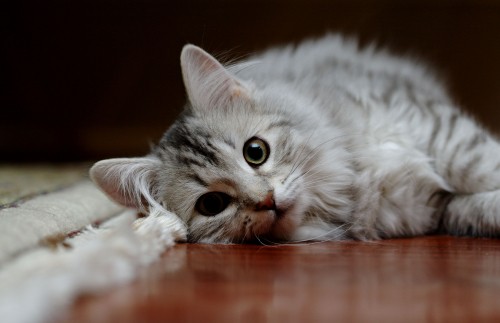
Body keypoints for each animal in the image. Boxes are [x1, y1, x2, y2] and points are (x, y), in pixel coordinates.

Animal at [89, 34, 500, 244]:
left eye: (255, 152)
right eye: (213, 204)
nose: (266, 200)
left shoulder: (434, 126)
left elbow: (481, 166)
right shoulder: (432, 211)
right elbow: (473, 207)